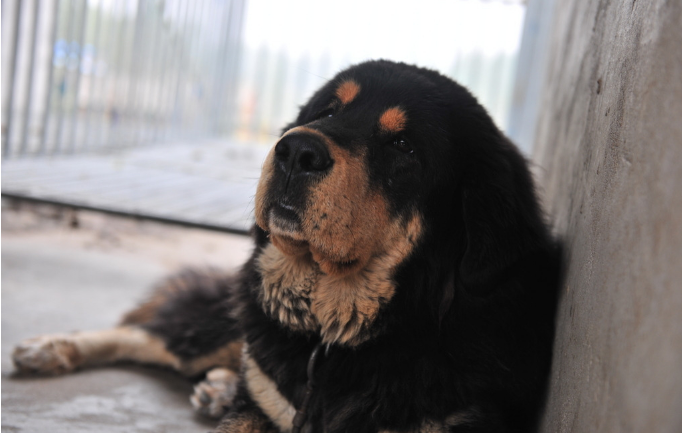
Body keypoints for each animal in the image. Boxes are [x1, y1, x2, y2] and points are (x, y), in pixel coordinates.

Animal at [13, 60, 560, 432]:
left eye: (403, 145)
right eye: (328, 111)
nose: (296, 150)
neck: (334, 339)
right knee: (155, 335)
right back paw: (51, 348)